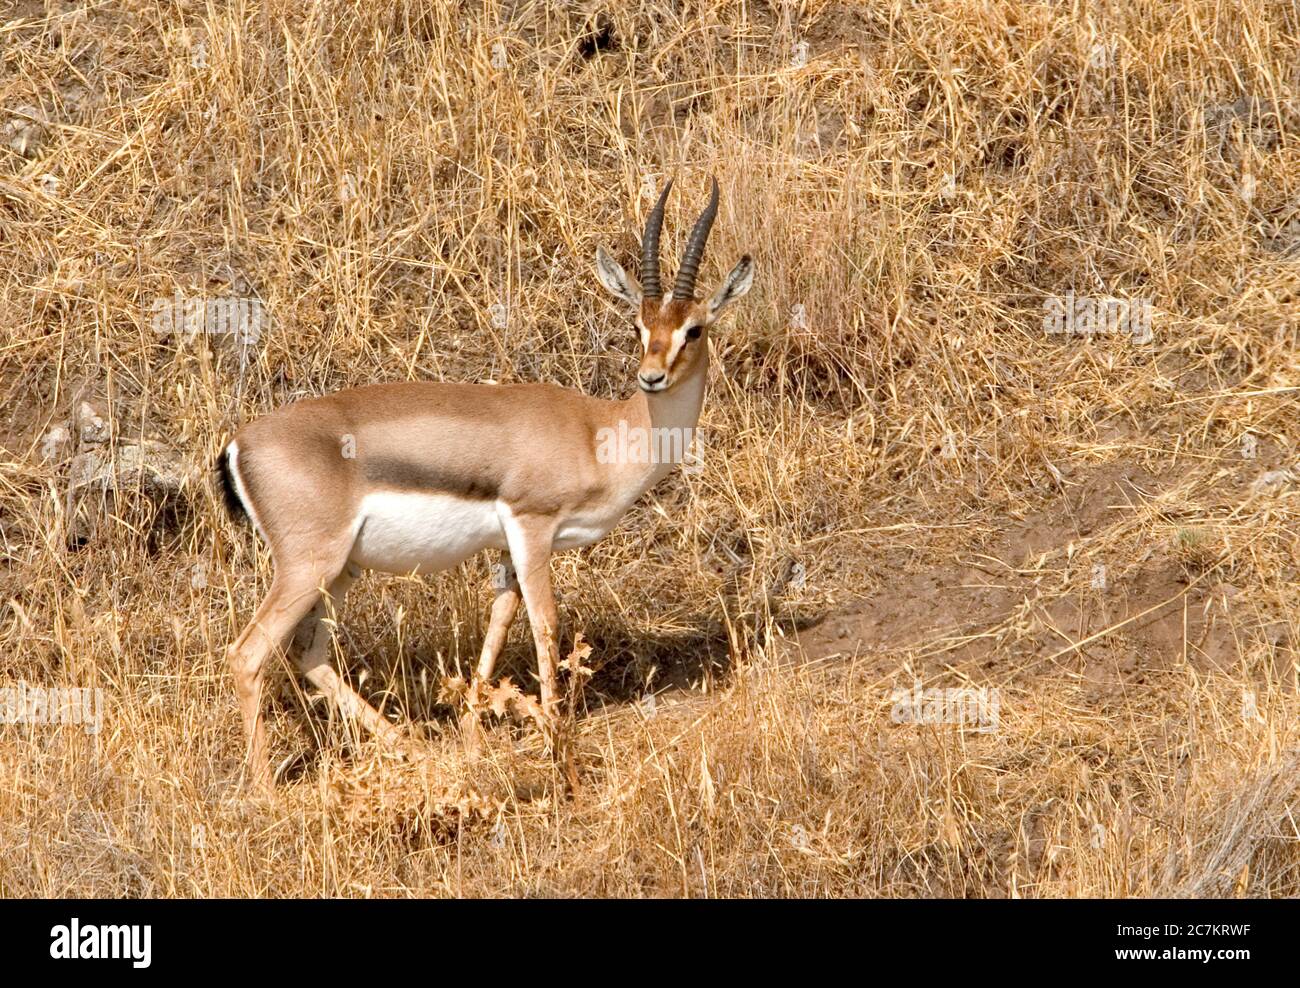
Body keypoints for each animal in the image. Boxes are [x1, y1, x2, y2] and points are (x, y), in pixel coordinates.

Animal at [217, 177, 754, 786]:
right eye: (638, 325)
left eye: (693, 328)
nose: (651, 377)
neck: (600, 432)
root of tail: (238, 446)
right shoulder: (532, 526)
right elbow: (545, 625)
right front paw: (559, 747)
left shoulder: (504, 550)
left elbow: (498, 626)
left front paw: (474, 739)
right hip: (309, 567)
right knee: (247, 654)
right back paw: (266, 789)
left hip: (341, 571)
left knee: (309, 655)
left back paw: (416, 751)